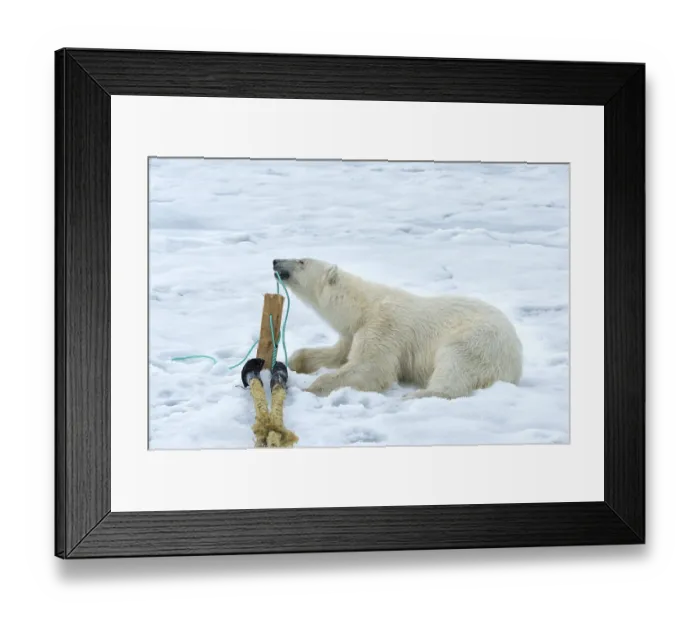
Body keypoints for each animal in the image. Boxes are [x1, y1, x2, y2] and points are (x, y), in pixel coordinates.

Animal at [273, 258, 523, 399]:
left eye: (301, 261)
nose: (275, 260)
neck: (363, 307)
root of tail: (517, 357)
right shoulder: (352, 332)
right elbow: (338, 354)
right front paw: (296, 361)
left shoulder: (383, 327)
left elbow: (371, 367)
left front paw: (309, 388)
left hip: (478, 340)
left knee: (456, 364)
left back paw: (420, 394)